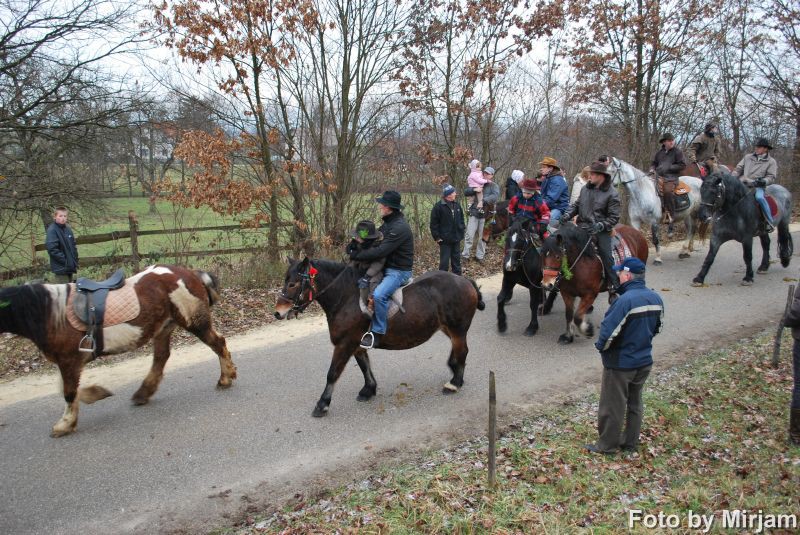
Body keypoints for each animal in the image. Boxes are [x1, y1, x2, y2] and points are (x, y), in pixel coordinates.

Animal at [0, 266, 238, 438]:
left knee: (218, 344)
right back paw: (143, 393)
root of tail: (191, 273)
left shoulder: (69, 360)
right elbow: (65, 388)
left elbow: (67, 392)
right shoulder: (68, 362)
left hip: (195, 322)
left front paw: (65, 425)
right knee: (161, 358)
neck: (50, 312)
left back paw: (226, 378)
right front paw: (96, 393)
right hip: (164, 328)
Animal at [276, 260, 484, 418]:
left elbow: (332, 374)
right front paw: (369, 389)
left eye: (293, 284)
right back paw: (454, 371)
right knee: (458, 351)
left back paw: (454, 382)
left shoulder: (345, 344)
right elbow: (364, 366)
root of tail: (465, 281)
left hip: (457, 329)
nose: (278, 313)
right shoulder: (357, 345)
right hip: (448, 328)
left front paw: (322, 404)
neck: (346, 298)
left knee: (463, 351)